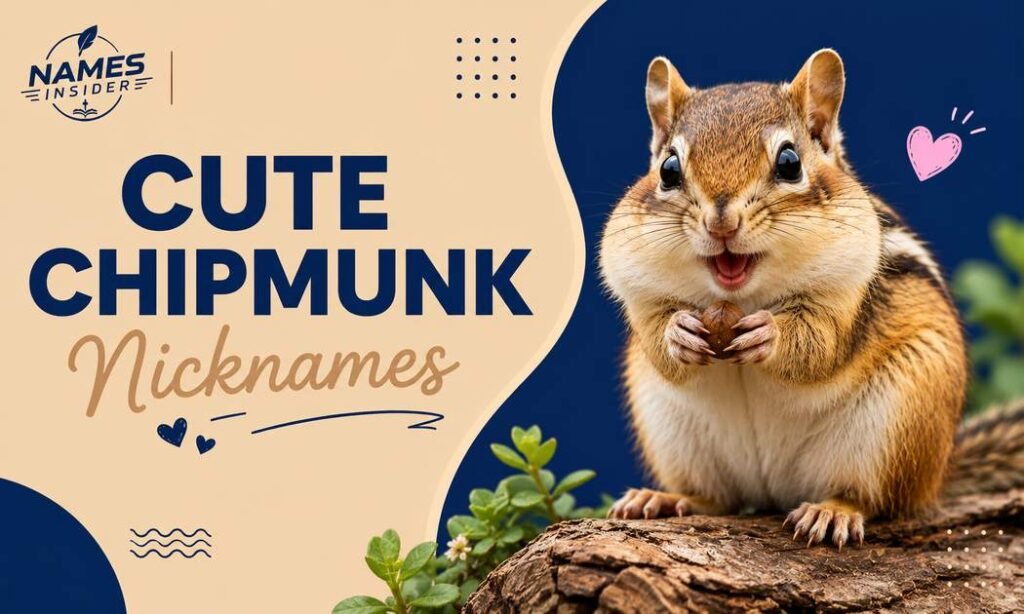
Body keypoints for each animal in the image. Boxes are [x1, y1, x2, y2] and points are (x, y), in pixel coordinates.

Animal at [599, 48, 1024, 548]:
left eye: (789, 163)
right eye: (668, 170)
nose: (721, 222)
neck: (742, 296)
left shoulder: (849, 289)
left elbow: (819, 346)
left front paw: (770, 334)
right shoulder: (639, 289)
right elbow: (655, 338)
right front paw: (677, 331)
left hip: (897, 424)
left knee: (874, 498)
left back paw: (833, 512)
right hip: (673, 433)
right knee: (715, 498)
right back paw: (664, 499)